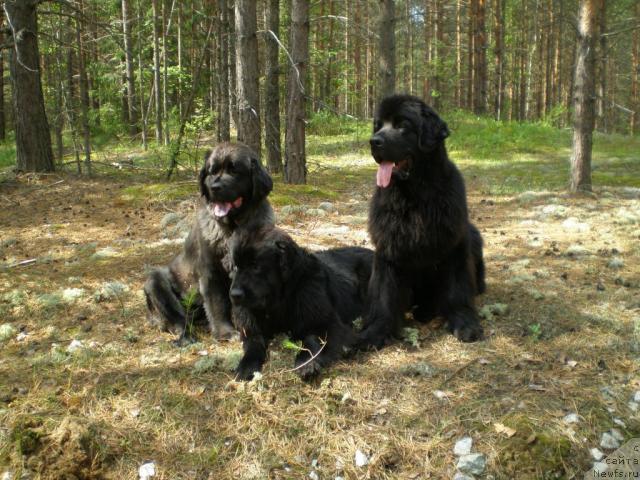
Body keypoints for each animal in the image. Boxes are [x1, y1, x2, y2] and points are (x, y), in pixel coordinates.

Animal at [144, 142, 274, 344]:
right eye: (212, 171)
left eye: (234, 170)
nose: (215, 187)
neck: (232, 228)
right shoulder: (211, 272)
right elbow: (217, 304)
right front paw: (225, 332)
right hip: (155, 281)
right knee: (178, 320)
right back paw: (186, 336)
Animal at [226, 227, 372, 380]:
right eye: (235, 267)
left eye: (255, 266)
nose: (234, 295)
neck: (281, 300)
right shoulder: (251, 327)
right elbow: (253, 343)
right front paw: (246, 365)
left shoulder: (325, 322)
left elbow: (312, 338)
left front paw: (306, 363)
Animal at [360, 94, 484, 348]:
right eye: (378, 125)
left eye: (402, 125)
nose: (373, 141)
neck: (415, 196)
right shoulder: (387, 249)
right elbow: (383, 295)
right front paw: (375, 332)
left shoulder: (455, 244)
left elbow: (458, 289)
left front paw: (465, 322)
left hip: (474, 234)